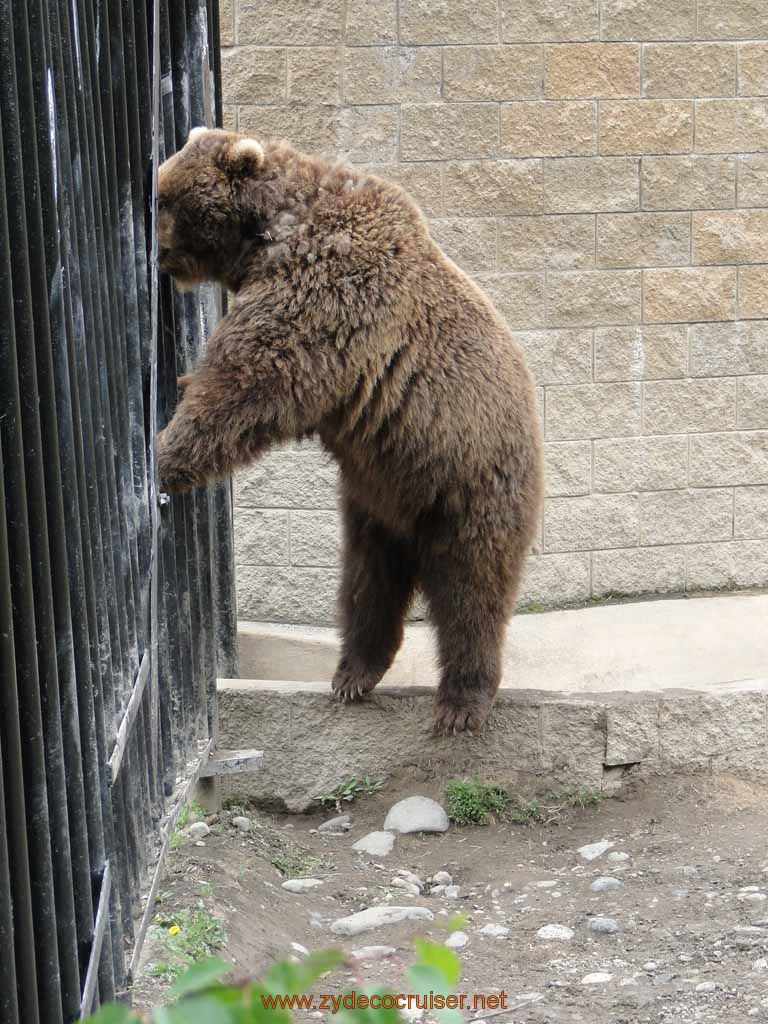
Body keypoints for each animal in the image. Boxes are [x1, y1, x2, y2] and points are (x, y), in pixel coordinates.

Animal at [156, 130, 544, 737]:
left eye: (165, 200)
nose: (160, 255)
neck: (267, 235)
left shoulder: (326, 293)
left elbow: (251, 378)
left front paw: (167, 453)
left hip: (469, 485)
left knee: (472, 594)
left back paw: (461, 701)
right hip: (374, 504)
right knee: (366, 586)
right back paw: (354, 673)